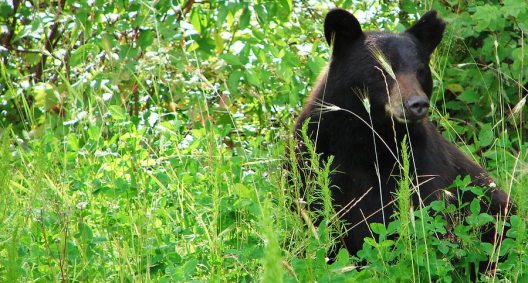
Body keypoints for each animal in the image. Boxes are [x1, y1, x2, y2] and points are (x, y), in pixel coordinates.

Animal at [292, 8, 512, 266]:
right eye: (382, 70)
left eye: (421, 71)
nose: (417, 104)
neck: (371, 135)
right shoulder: (314, 151)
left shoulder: (420, 160)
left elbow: (431, 212)